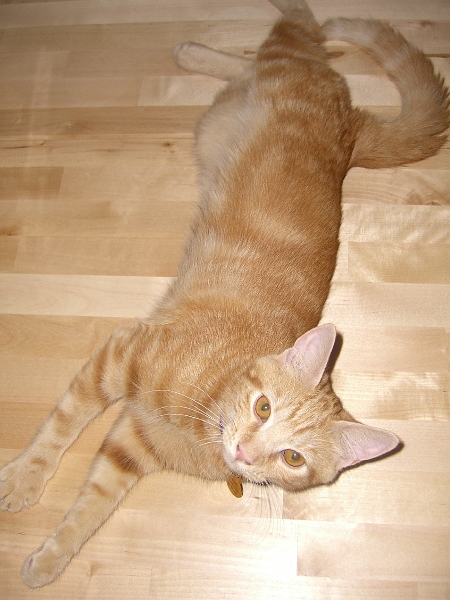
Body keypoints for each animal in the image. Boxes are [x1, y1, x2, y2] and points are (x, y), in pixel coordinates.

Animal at [1, 0, 448, 588]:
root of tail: (350, 126)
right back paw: (208, 46)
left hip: (236, 100)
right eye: (263, 407)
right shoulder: (119, 356)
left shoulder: (129, 449)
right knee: (299, 26)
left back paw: (197, 54)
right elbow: (60, 426)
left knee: (253, 63)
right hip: (287, 56)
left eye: (292, 458)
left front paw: (49, 560)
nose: (245, 451)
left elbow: (88, 511)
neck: (205, 417)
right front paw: (25, 478)